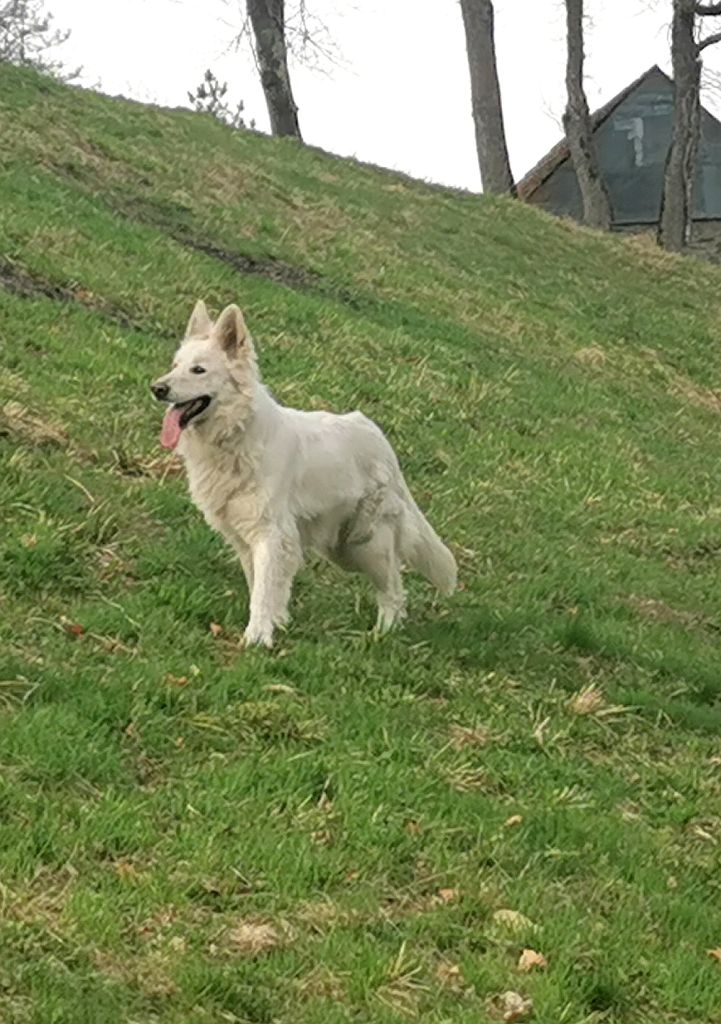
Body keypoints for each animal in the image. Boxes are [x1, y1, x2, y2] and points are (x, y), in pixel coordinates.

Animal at [150, 299, 456, 643]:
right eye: (175, 365)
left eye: (198, 370)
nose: (157, 388)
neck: (237, 434)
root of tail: (378, 436)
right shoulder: (248, 539)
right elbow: (263, 585)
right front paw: (276, 622)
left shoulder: (270, 534)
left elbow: (262, 591)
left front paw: (256, 638)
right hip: (342, 547)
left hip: (364, 545)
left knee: (393, 587)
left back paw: (384, 633)